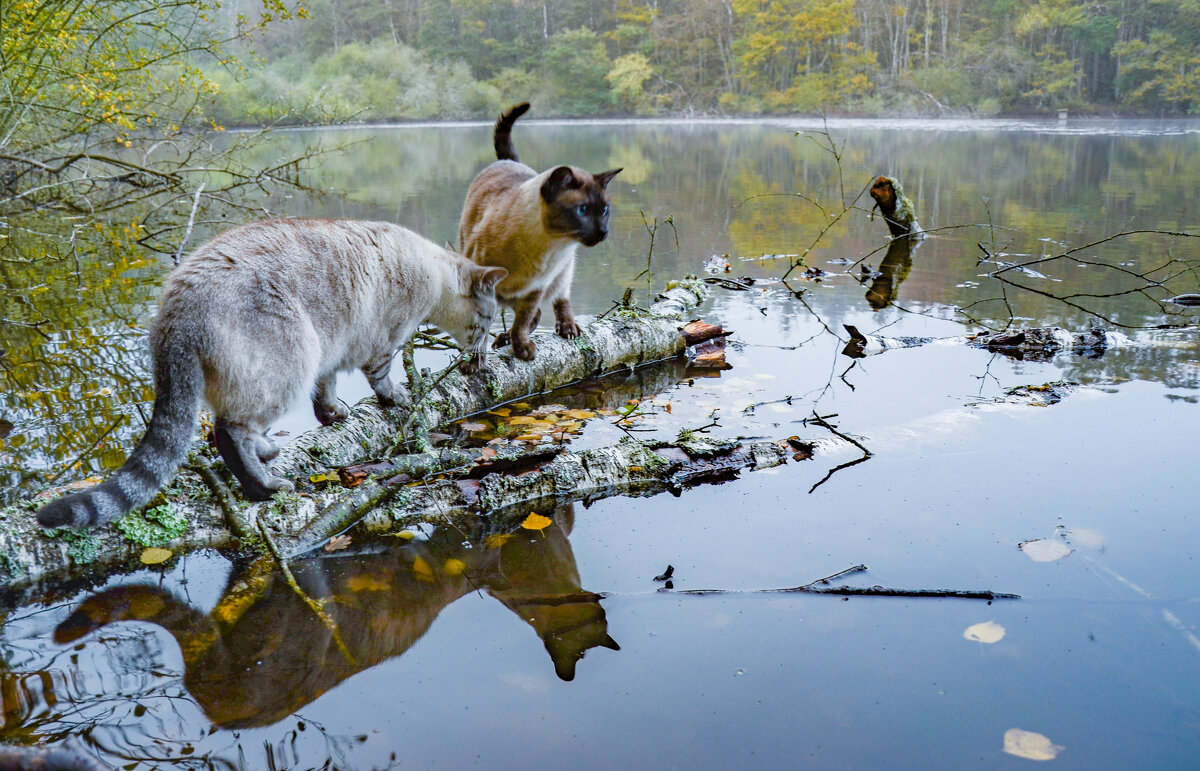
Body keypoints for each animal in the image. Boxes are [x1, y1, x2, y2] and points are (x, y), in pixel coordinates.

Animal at [36, 218, 506, 526]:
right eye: (487, 321)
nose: (485, 347)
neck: (434, 273)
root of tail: (178, 308)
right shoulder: (381, 343)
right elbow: (382, 378)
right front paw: (398, 398)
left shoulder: (332, 350)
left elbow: (326, 390)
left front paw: (333, 414)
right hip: (293, 360)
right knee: (228, 432)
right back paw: (262, 483)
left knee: (230, 427)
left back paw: (265, 452)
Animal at [456, 101, 624, 360]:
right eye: (583, 210)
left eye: (605, 210)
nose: (603, 232)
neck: (546, 246)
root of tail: (508, 161)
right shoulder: (483, 287)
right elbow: (481, 329)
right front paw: (475, 359)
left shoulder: (535, 289)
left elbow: (523, 322)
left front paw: (521, 348)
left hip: (561, 275)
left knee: (558, 301)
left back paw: (566, 328)